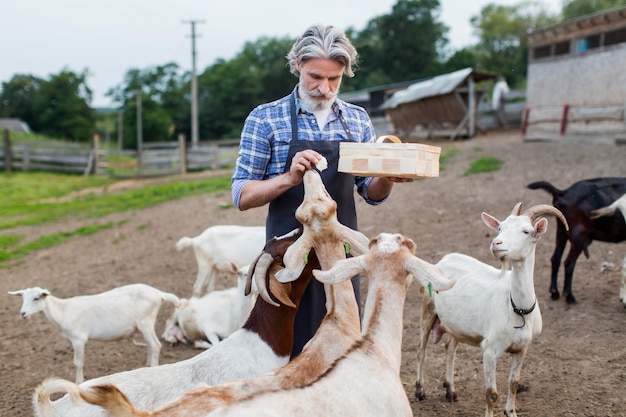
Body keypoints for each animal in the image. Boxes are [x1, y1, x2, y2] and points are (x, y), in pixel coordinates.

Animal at [8, 284, 179, 382]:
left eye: (36, 298)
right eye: (22, 298)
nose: (23, 313)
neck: (63, 311)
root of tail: (158, 293)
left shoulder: (78, 339)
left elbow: (78, 363)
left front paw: (79, 383)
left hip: (145, 321)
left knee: (155, 345)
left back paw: (153, 368)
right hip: (145, 324)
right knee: (150, 345)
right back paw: (147, 366)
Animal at [414, 203, 564, 416]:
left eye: (526, 231)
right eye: (500, 228)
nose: (496, 243)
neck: (517, 309)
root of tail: (444, 259)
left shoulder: (522, 349)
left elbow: (514, 383)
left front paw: (511, 412)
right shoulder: (490, 350)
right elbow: (491, 394)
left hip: (456, 324)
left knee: (450, 348)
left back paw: (450, 390)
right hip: (428, 309)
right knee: (421, 350)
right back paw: (420, 390)